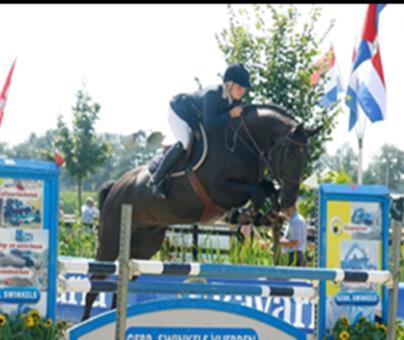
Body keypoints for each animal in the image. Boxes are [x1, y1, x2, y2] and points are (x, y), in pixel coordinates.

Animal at [82, 102, 318, 320]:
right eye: (290, 155)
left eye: (306, 157)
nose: (290, 199)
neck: (241, 144)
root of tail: (116, 186)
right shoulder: (220, 190)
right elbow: (258, 191)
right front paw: (248, 214)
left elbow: (267, 188)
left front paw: (267, 214)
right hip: (111, 240)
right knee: (94, 284)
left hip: (144, 246)